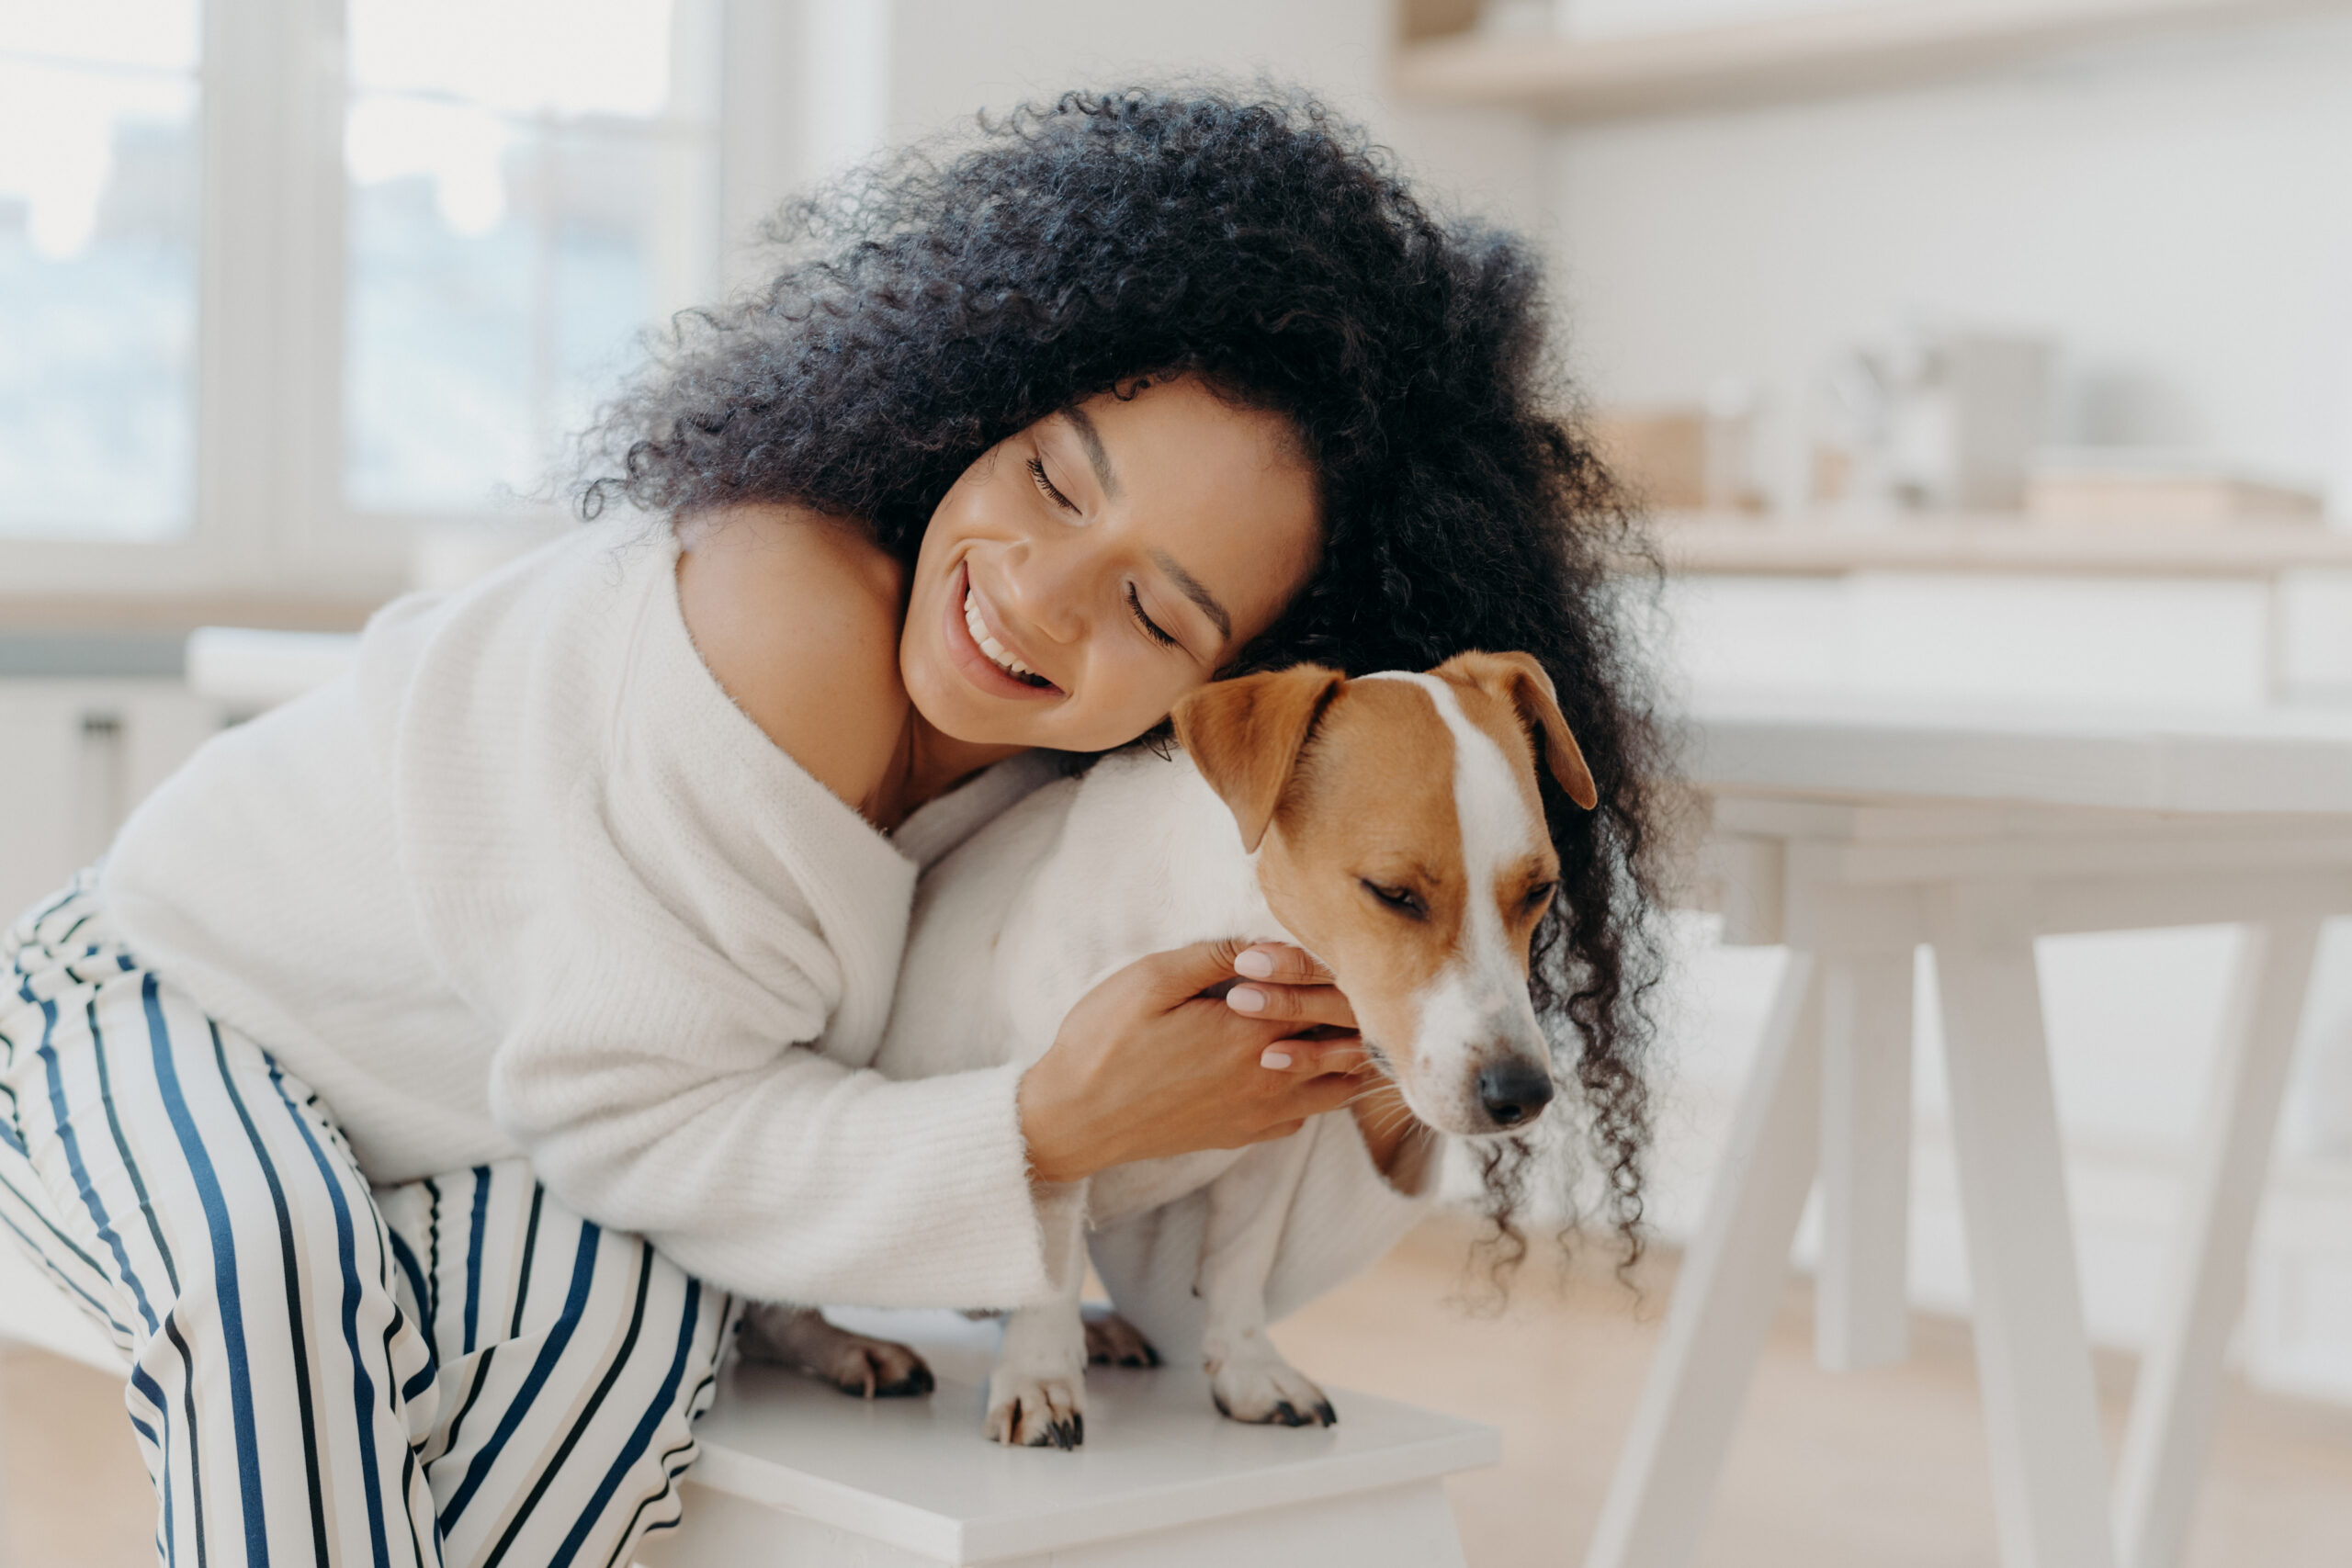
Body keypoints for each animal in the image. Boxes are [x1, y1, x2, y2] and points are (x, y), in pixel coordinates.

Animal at [742, 649, 1609, 1448]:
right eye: (1393, 894)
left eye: (1539, 890)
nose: (1523, 1093)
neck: (1223, 924)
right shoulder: (1059, 1118)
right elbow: (1051, 1266)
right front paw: (1040, 1378)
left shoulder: (1272, 1147)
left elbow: (1237, 1262)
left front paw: (1249, 1369)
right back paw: (846, 1345)